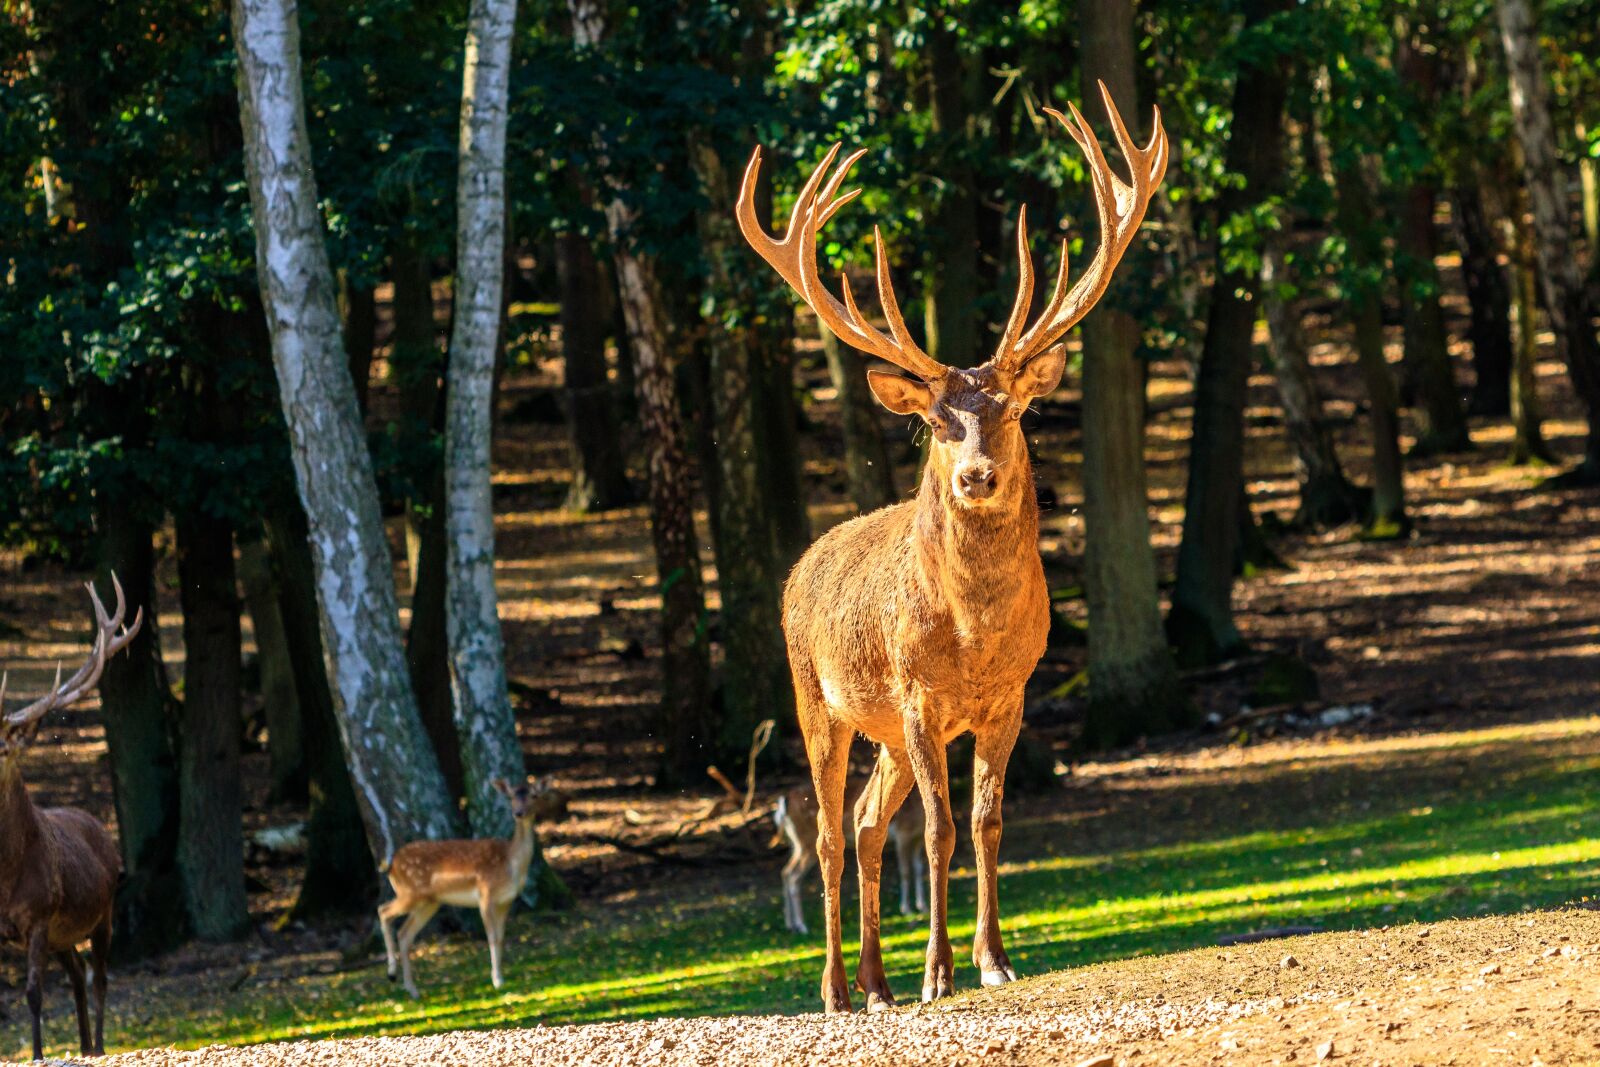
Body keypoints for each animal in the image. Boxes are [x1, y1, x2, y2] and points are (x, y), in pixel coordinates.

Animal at [1, 576, 141, 1059]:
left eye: (5, 747)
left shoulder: (41, 917)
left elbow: (33, 994)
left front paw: (38, 1054)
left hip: (105, 910)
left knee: (99, 978)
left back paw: (96, 1045)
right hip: (65, 935)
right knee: (78, 973)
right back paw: (82, 1045)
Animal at [378, 776, 547, 998]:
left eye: (534, 796)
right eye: (511, 796)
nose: (518, 813)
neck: (511, 864)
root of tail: (391, 866)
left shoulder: (506, 901)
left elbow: (501, 937)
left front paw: (500, 976)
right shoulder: (485, 894)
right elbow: (492, 937)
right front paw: (497, 980)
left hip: (429, 902)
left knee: (404, 933)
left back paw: (412, 990)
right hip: (410, 892)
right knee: (383, 911)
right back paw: (391, 974)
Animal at [773, 780, 926, 935]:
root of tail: (783, 802)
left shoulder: (918, 838)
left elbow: (919, 869)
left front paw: (922, 906)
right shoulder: (903, 832)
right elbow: (905, 871)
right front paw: (906, 909)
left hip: (797, 843)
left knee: (786, 871)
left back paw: (790, 924)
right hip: (807, 840)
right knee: (794, 875)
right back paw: (801, 925)